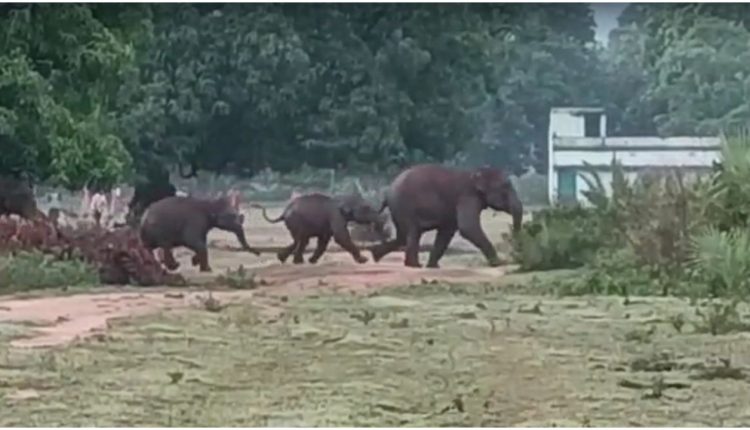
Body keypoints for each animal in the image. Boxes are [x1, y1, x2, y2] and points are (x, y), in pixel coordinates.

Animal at [251, 192, 382, 264]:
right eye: (366, 208)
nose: (376, 225)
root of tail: (284, 212)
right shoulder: (335, 216)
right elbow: (340, 236)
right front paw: (364, 260)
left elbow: (324, 241)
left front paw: (312, 261)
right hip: (296, 221)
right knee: (301, 240)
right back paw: (297, 262)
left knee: (299, 240)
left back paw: (283, 258)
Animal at [369, 164, 523, 268]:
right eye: (506, 186)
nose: (512, 257)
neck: (476, 173)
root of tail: (388, 192)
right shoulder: (467, 197)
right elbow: (468, 228)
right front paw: (498, 263)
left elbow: (447, 232)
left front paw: (433, 267)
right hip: (404, 207)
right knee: (412, 233)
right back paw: (414, 266)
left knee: (402, 236)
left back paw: (376, 255)